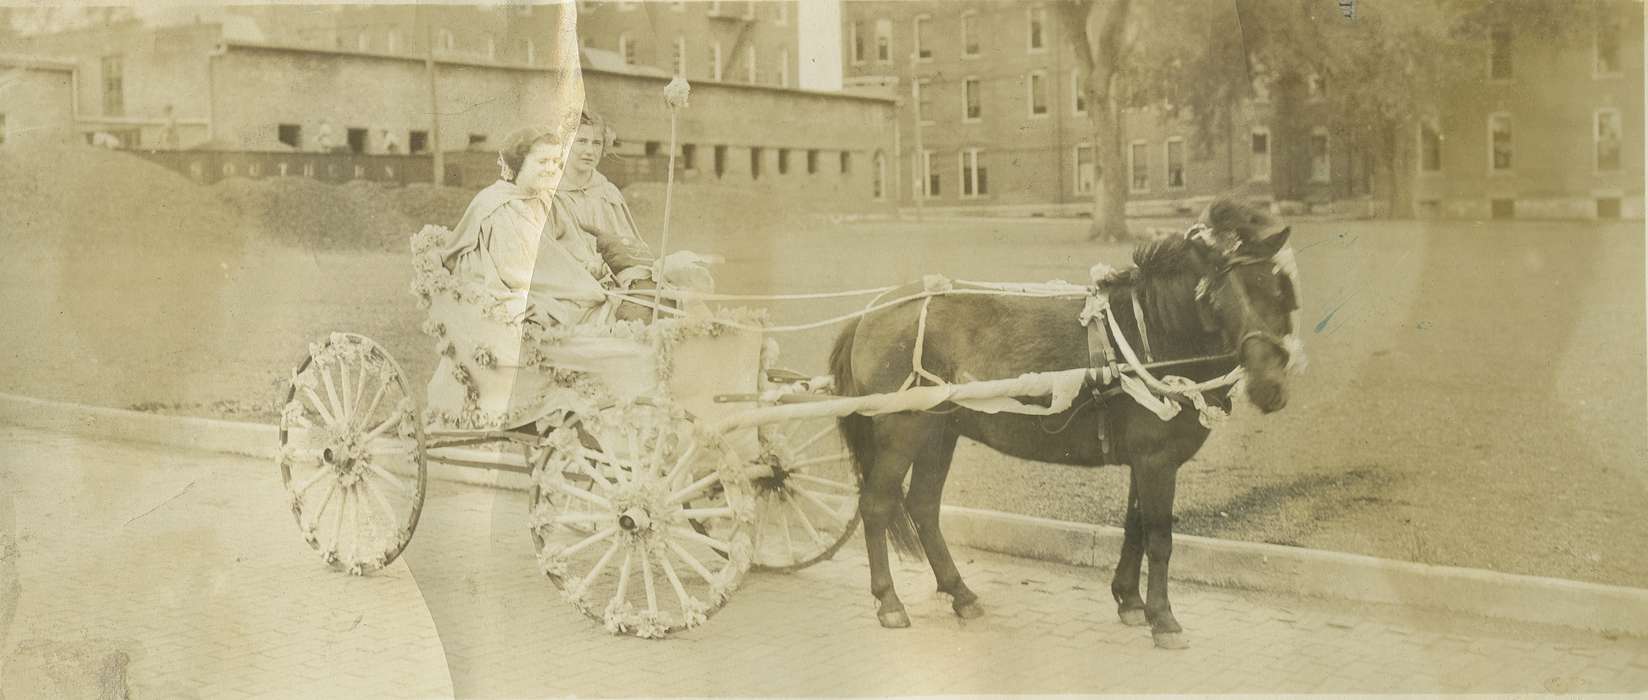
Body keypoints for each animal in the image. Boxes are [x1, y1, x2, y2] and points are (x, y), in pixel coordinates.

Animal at [830, 199, 1305, 645]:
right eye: (1221, 297)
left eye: (1279, 292)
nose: (1269, 386)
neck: (1149, 334)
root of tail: (869, 315)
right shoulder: (1155, 461)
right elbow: (1159, 537)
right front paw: (1164, 618)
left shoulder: (1147, 461)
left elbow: (1134, 526)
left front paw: (1130, 601)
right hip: (903, 432)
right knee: (876, 506)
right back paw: (890, 602)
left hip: (938, 434)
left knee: (924, 508)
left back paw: (961, 594)